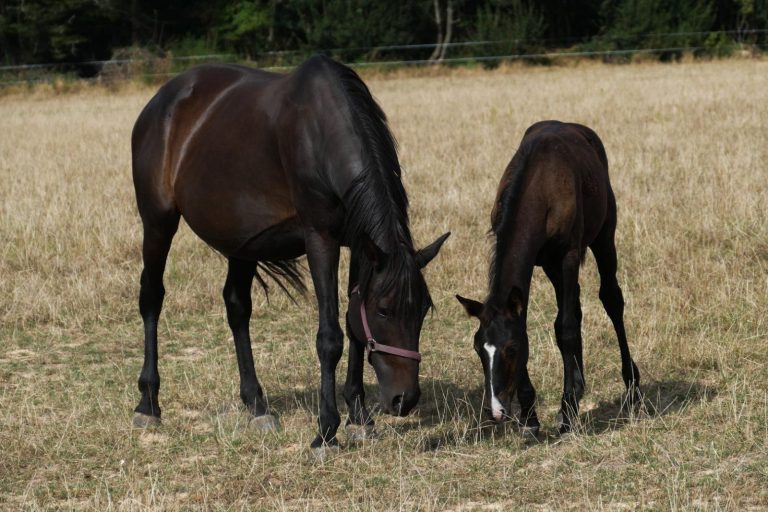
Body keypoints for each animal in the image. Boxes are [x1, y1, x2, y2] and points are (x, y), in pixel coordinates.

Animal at [129, 54, 448, 450]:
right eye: (385, 311)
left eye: (423, 310)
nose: (405, 400)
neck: (322, 134)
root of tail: (161, 100)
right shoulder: (320, 239)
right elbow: (330, 337)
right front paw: (326, 430)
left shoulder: (361, 246)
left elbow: (354, 327)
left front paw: (359, 417)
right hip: (158, 221)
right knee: (152, 297)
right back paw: (148, 403)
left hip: (242, 241)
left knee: (237, 307)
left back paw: (257, 405)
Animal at [456, 121, 640, 436]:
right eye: (479, 348)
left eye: (511, 349)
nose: (496, 411)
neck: (540, 187)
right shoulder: (538, 263)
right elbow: (535, 323)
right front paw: (531, 417)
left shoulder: (568, 255)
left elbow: (566, 329)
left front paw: (566, 414)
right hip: (553, 267)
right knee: (575, 308)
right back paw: (578, 387)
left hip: (603, 236)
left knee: (611, 299)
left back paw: (631, 384)